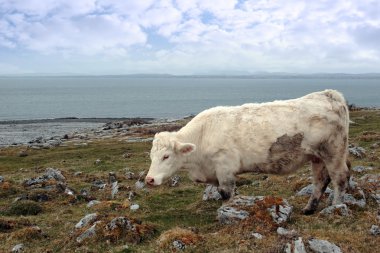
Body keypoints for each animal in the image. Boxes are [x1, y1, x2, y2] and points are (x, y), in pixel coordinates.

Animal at [145, 90, 350, 214]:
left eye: (166, 156)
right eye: (151, 156)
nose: (149, 179)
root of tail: (328, 94)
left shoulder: (224, 167)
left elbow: (225, 193)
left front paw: (224, 213)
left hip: (334, 151)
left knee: (340, 177)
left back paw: (336, 207)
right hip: (317, 156)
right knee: (320, 180)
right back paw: (309, 209)